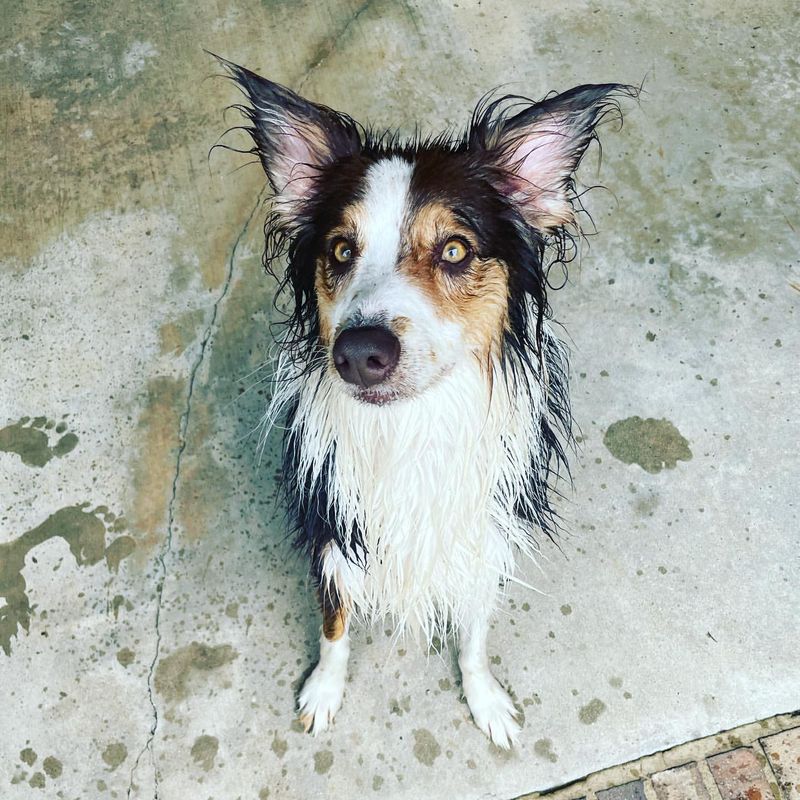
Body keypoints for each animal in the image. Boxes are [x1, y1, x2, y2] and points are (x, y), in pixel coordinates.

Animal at [216, 57, 636, 752]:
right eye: (341, 250)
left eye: (455, 250)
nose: (359, 352)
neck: (411, 427)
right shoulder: (337, 530)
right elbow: (335, 624)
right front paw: (324, 691)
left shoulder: (482, 532)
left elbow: (475, 630)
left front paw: (484, 698)